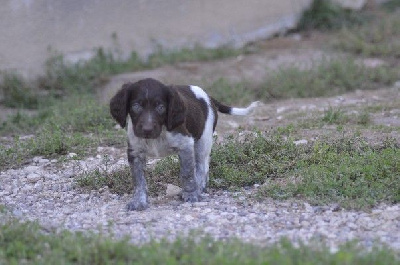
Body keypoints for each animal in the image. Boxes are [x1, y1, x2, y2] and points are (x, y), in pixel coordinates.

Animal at [109, 77, 260, 209]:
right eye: (135, 106)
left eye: (161, 107)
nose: (147, 129)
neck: (158, 135)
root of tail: (209, 97)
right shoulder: (135, 152)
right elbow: (138, 180)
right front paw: (139, 201)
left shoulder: (186, 144)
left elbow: (187, 174)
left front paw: (191, 195)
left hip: (203, 142)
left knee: (202, 168)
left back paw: (199, 189)